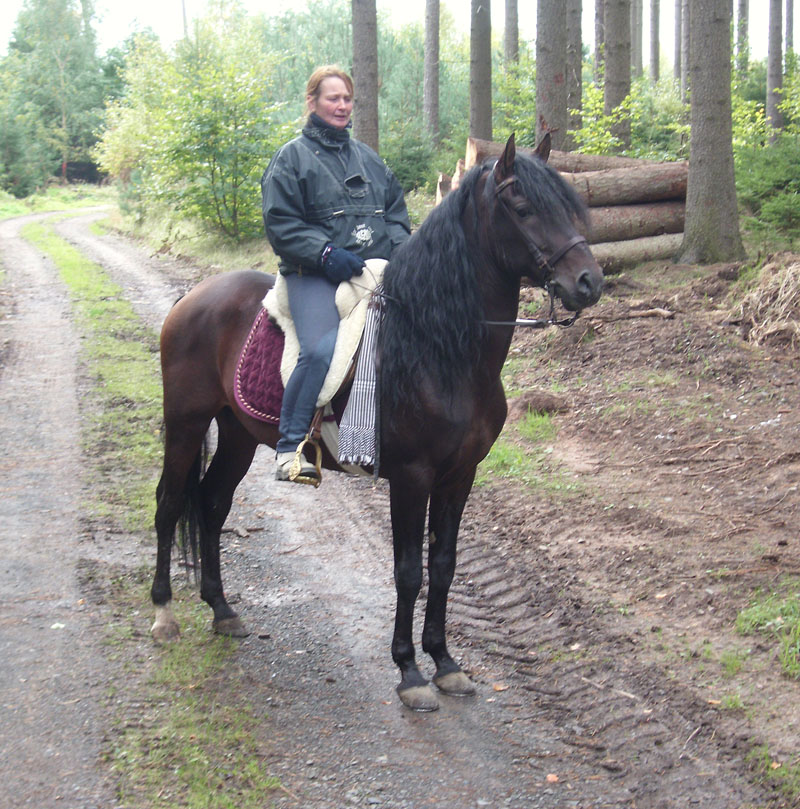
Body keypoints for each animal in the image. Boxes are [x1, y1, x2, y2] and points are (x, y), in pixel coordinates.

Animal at [150, 133, 604, 711]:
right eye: (523, 209)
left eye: (569, 207)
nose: (589, 282)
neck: (438, 347)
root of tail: (192, 298)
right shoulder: (412, 476)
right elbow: (408, 571)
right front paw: (409, 672)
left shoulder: (460, 476)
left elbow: (444, 565)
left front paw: (446, 664)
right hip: (187, 423)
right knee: (169, 504)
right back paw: (164, 614)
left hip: (236, 434)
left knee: (211, 504)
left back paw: (222, 610)